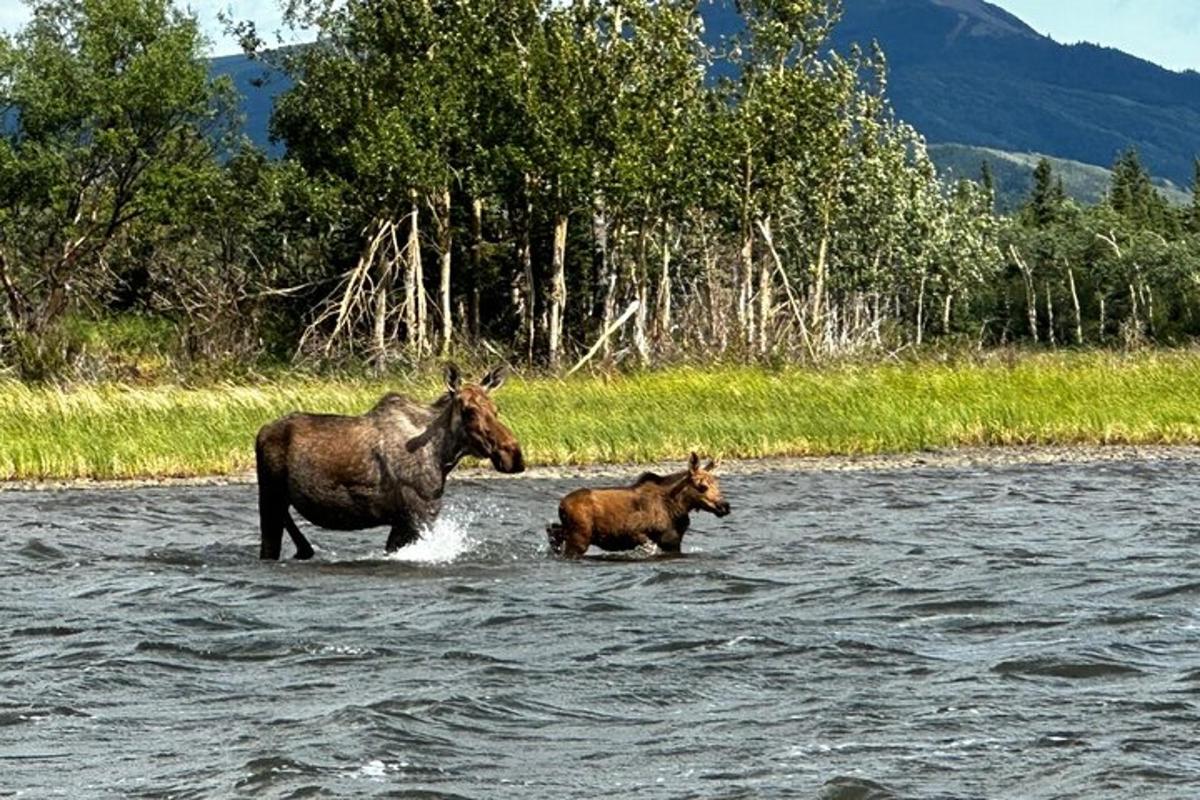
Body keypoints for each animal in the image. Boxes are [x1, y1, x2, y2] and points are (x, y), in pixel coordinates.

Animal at [255, 367, 523, 561]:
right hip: (269, 497)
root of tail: (260, 433)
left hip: (279, 500)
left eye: (496, 409)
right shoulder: (416, 516)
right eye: (468, 411)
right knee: (269, 547)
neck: (442, 456)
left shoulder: (408, 520)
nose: (515, 455)